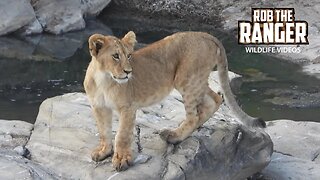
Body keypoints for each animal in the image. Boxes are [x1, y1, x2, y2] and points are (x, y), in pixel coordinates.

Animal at [83, 31, 264, 172]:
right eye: (115, 56)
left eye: (128, 56)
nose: (128, 72)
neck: (104, 79)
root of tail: (205, 34)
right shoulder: (99, 107)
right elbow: (104, 131)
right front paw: (104, 151)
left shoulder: (128, 107)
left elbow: (122, 135)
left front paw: (121, 160)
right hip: (197, 81)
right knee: (216, 98)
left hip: (186, 80)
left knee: (193, 116)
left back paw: (174, 136)